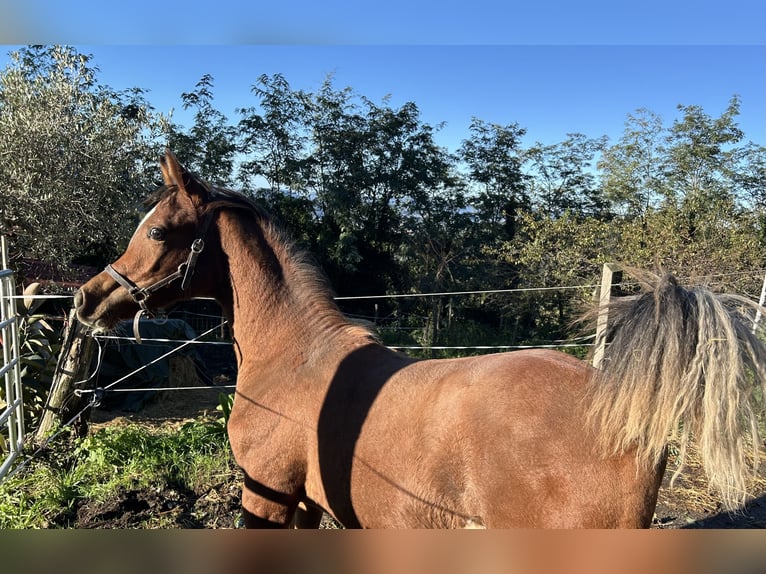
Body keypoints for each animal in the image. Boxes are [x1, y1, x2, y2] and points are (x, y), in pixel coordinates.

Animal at [75, 151, 766, 528]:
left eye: (158, 231)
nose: (88, 298)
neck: (295, 359)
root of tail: (625, 410)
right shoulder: (306, 501)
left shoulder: (266, 494)